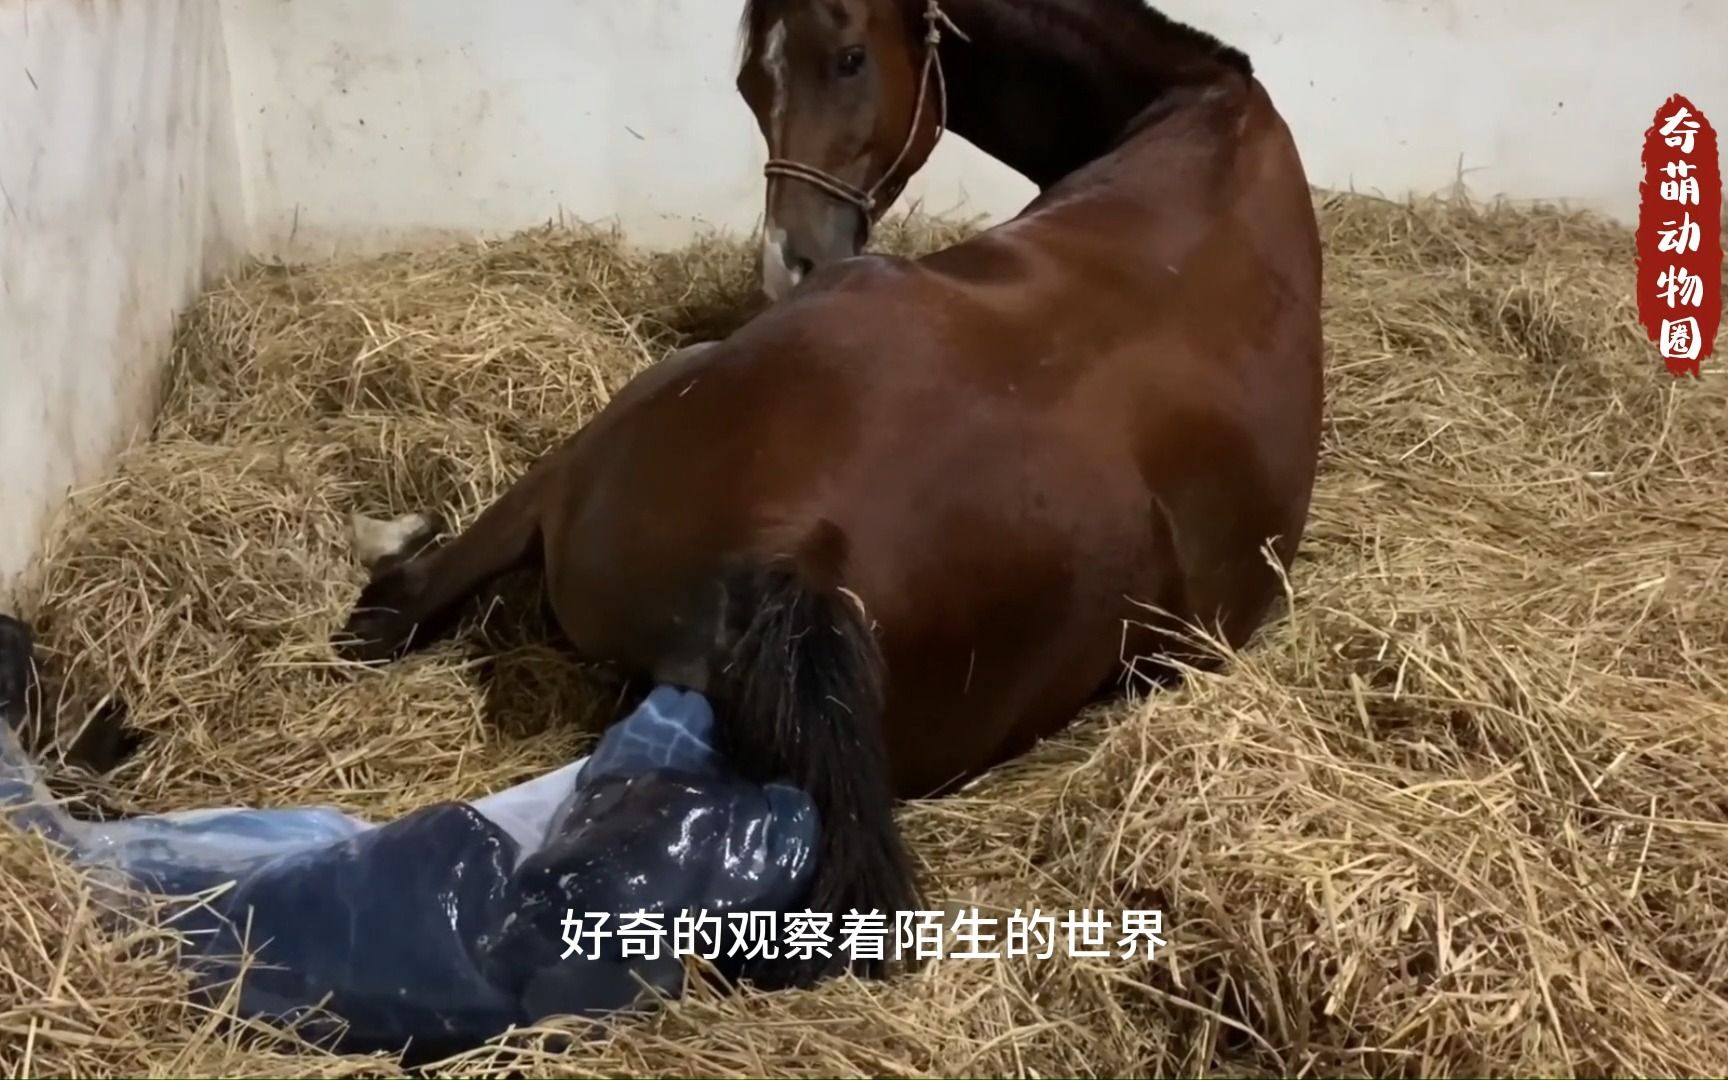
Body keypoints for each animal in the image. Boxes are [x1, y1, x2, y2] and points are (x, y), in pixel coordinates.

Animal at [333, 0, 1323, 987]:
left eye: (849, 59)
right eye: (749, 83)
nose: (789, 263)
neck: (1200, 110)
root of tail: (798, 549)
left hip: (602, 440)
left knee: (401, 602)